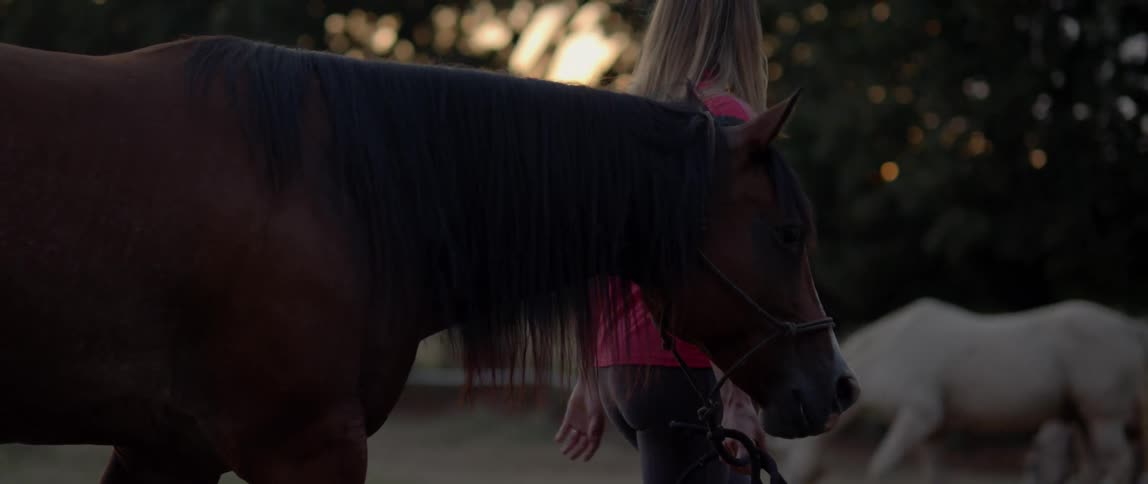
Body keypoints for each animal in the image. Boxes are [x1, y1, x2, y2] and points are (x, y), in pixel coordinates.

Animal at [770, 298, 1148, 484]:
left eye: (786, 463)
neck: (881, 354)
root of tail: (1130, 329)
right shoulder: (934, 427)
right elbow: (937, 473)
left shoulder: (920, 413)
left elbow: (881, 466)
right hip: (1083, 412)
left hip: (1103, 412)